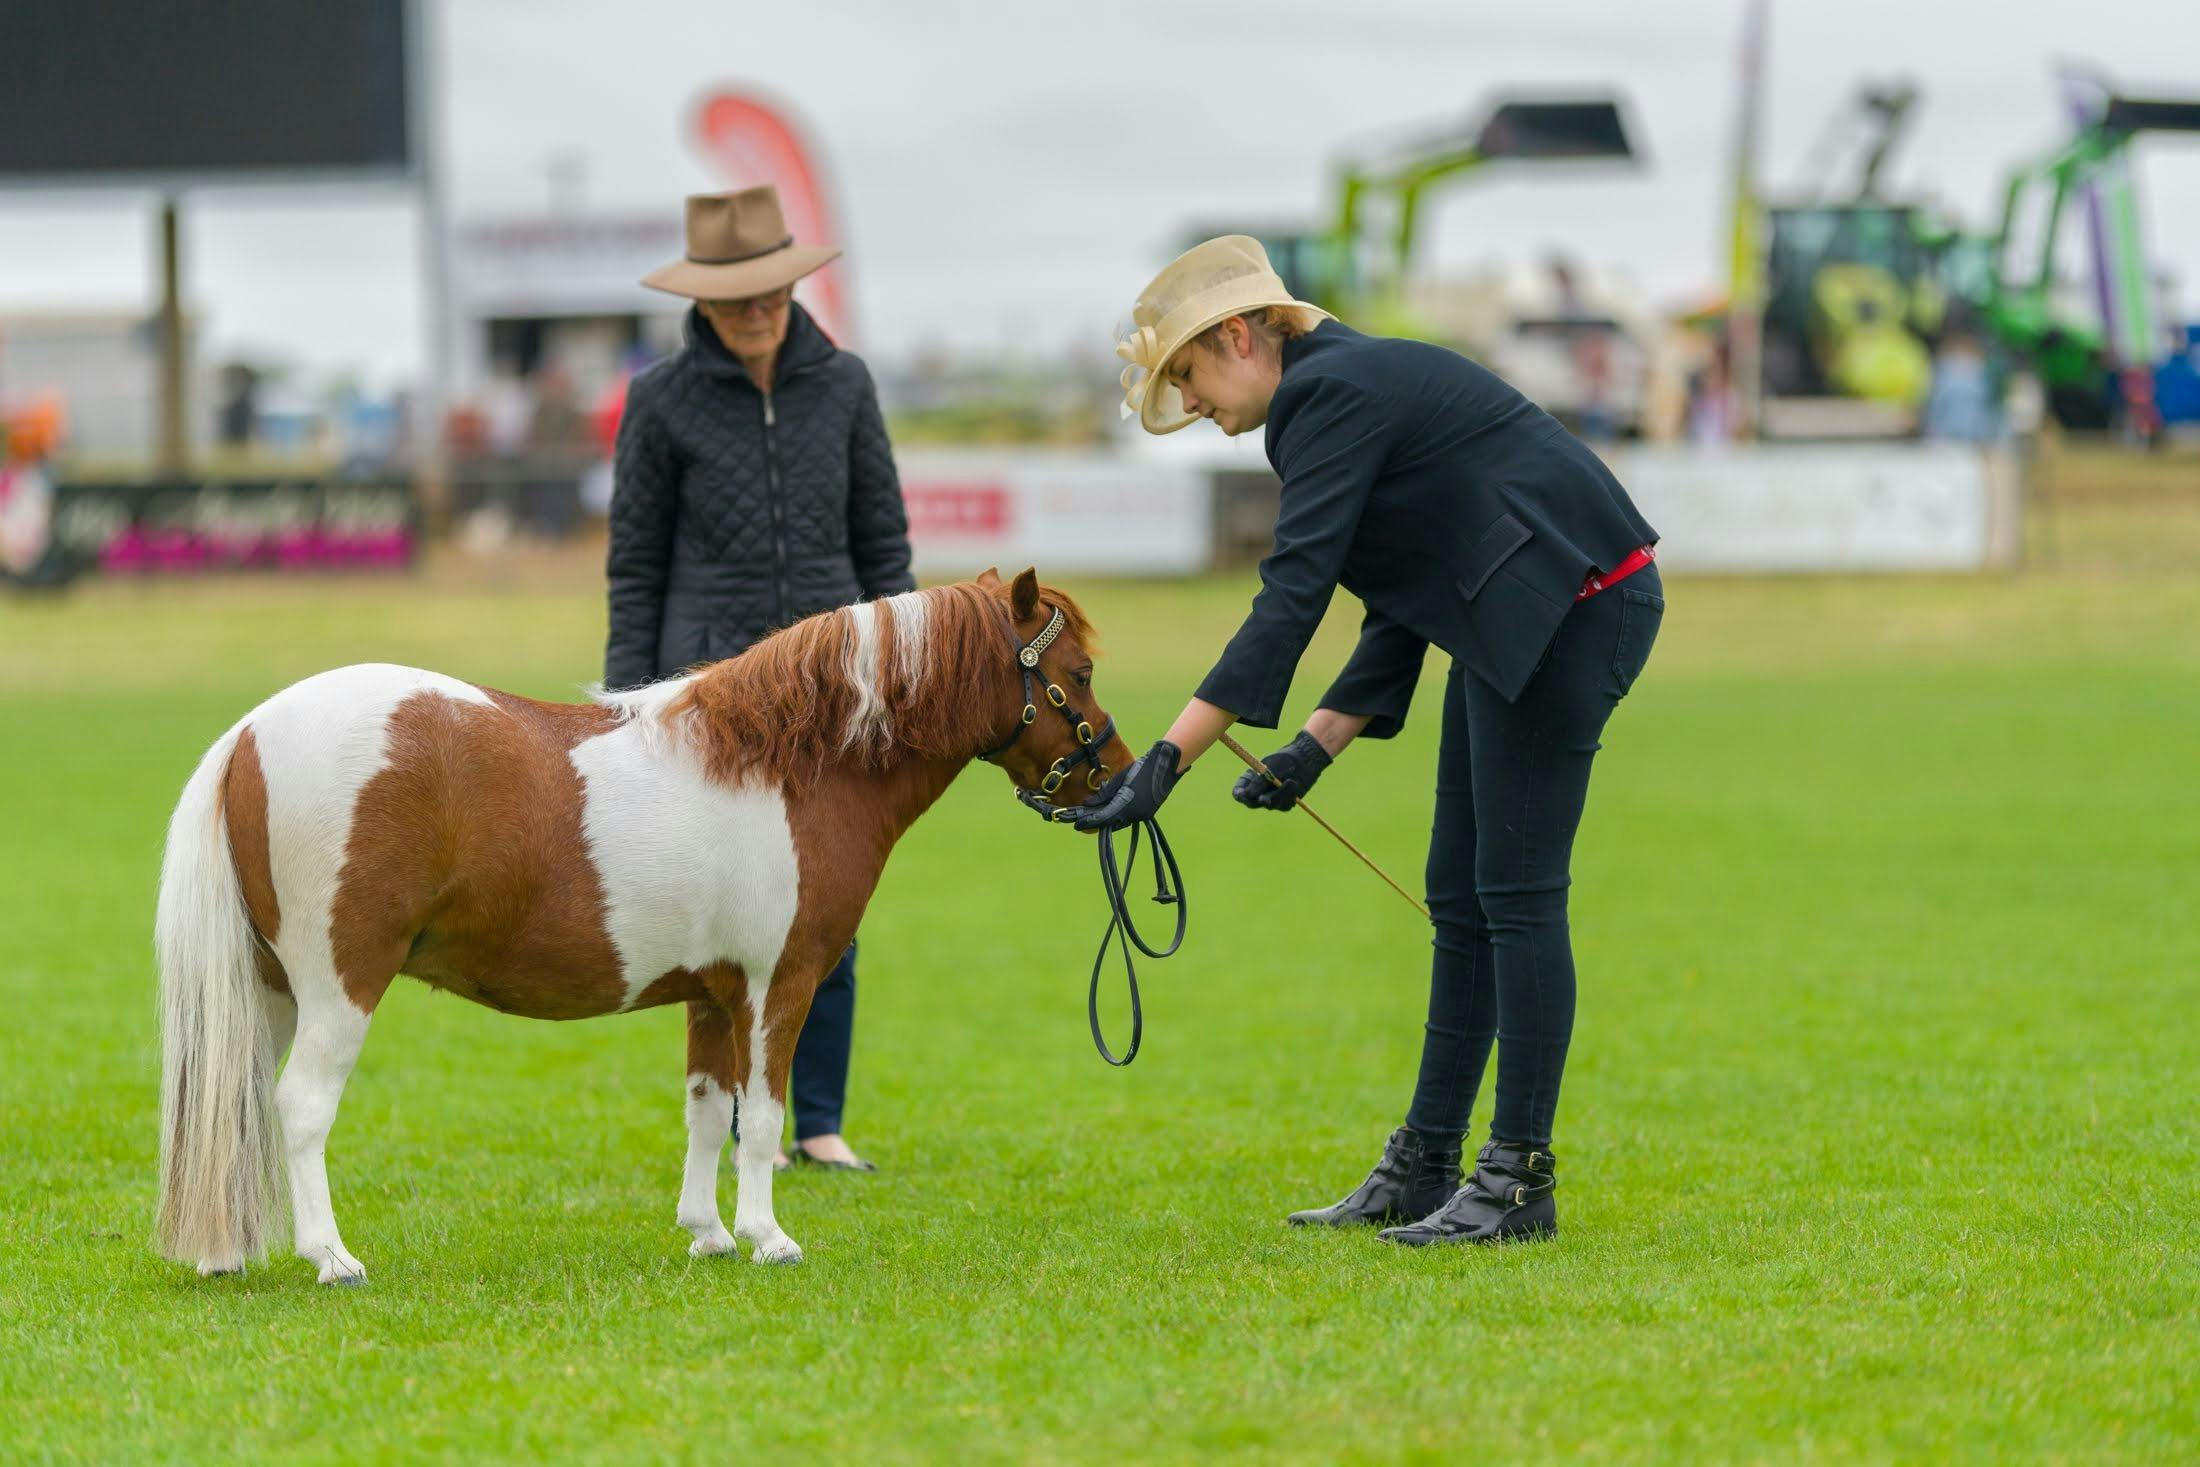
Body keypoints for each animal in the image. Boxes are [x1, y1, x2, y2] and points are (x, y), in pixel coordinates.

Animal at [153, 568, 1131, 1284]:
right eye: (1078, 673)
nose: (1120, 778)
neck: (786, 769)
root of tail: (250, 731)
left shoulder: (711, 996)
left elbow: (707, 1110)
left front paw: (710, 1233)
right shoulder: (780, 986)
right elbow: (763, 1118)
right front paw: (771, 1238)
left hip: (271, 989)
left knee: (232, 1099)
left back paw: (226, 1254)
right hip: (339, 985)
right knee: (300, 1106)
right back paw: (332, 1257)